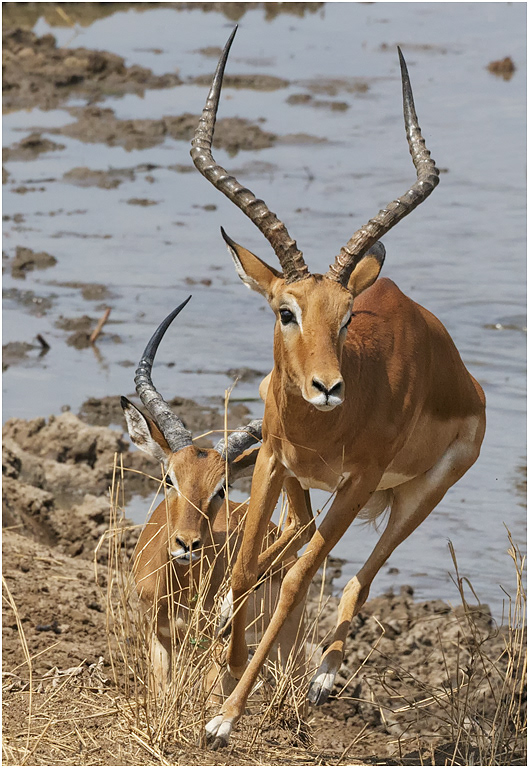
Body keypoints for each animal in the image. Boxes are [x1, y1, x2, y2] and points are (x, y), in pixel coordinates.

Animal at [121, 297, 305, 700]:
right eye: (169, 478)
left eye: (222, 488)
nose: (186, 544)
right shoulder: (157, 634)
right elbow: (162, 691)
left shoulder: (213, 643)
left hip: (284, 639)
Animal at [190, 29, 486, 747]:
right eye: (285, 311)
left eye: (348, 315)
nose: (327, 387)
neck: (326, 426)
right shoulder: (273, 457)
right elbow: (247, 563)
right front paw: (225, 666)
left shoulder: (357, 481)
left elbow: (302, 579)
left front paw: (225, 715)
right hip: (310, 483)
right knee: (291, 543)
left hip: (417, 495)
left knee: (357, 573)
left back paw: (323, 679)